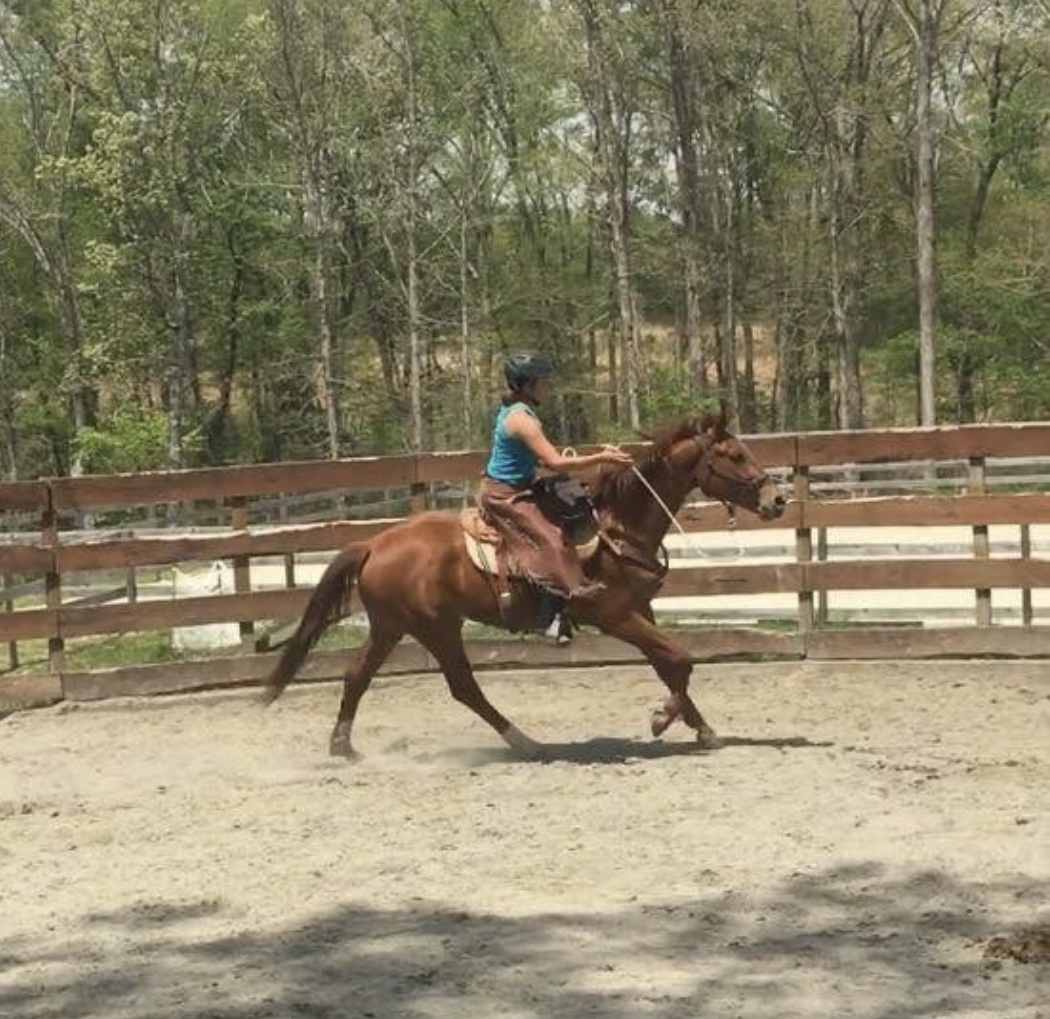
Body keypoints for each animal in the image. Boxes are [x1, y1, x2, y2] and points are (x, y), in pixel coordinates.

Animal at [262, 409, 785, 757]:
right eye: (735, 453)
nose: (776, 501)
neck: (619, 523)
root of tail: (374, 542)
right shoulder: (612, 614)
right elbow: (681, 658)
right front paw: (661, 719)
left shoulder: (642, 608)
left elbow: (669, 665)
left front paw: (701, 728)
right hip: (434, 627)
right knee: (462, 686)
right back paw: (525, 741)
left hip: (393, 626)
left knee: (359, 675)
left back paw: (342, 746)